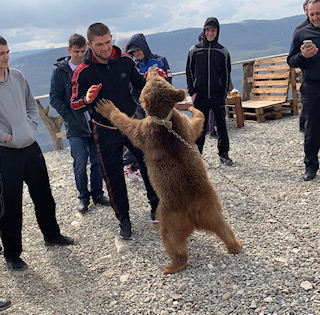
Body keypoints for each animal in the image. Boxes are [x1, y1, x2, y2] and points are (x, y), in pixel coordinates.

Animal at [95, 69, 240, 274]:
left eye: (152, 80)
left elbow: (129, 126)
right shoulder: (183, 128)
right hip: (213, 209)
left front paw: (106, 106)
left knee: (171, 240)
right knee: (224, 228)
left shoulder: (147, 133)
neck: (164, 120)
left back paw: (172, 265)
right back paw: (235, 245)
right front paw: (192, 108)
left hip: (171, 217)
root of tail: (195, 213)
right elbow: (196, 123)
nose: (152, 70)